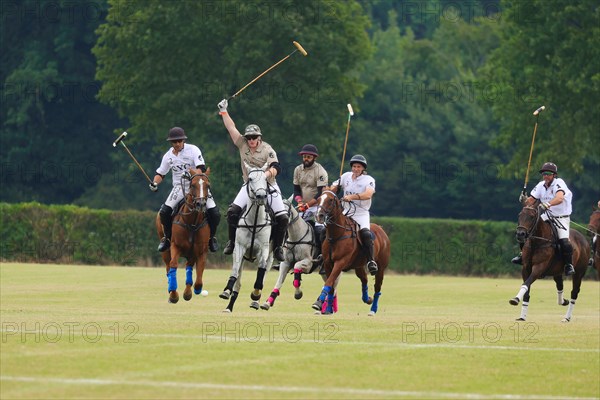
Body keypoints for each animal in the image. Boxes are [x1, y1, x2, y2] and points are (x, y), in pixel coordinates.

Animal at [156, 168, 212, 304]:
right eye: (192, 185)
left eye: (208, 185)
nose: (201, 204)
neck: (192, 222)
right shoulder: (175, 246)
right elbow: (173, 265)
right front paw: (173, 295)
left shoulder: (201, 251)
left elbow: (199, 275)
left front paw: (193, 291)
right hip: (165, 249)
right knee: (168, 267)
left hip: (191, 253)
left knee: (189, 266)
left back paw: (188, 291)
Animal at [219, 166, 274, 312]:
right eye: (250, 179)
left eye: (266, 178)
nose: (261, 197)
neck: (255, 220)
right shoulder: (239, 247)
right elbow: (235, 269)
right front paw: (226, 290)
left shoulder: (264, 249)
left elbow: (261, 270)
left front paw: (255, 294)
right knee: (238, 281)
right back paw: (229, 305)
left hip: (272, 255)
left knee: (265, 271)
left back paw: (256, 301)